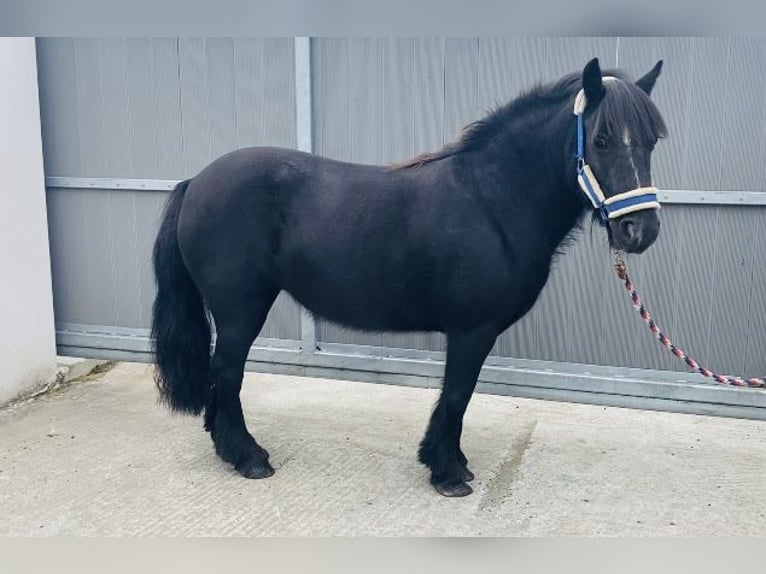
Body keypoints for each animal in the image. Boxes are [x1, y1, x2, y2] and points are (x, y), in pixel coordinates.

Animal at [152, 59, 664, 500]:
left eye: (651, 141)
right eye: (600, 140)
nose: (640, 231)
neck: (491, 199)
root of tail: (196, 182)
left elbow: (458, 398)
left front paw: (451, 461)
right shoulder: (472, 331)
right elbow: (457, 395)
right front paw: (447, 472)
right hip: (240, 310)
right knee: (228, 373)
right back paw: (248, 456)